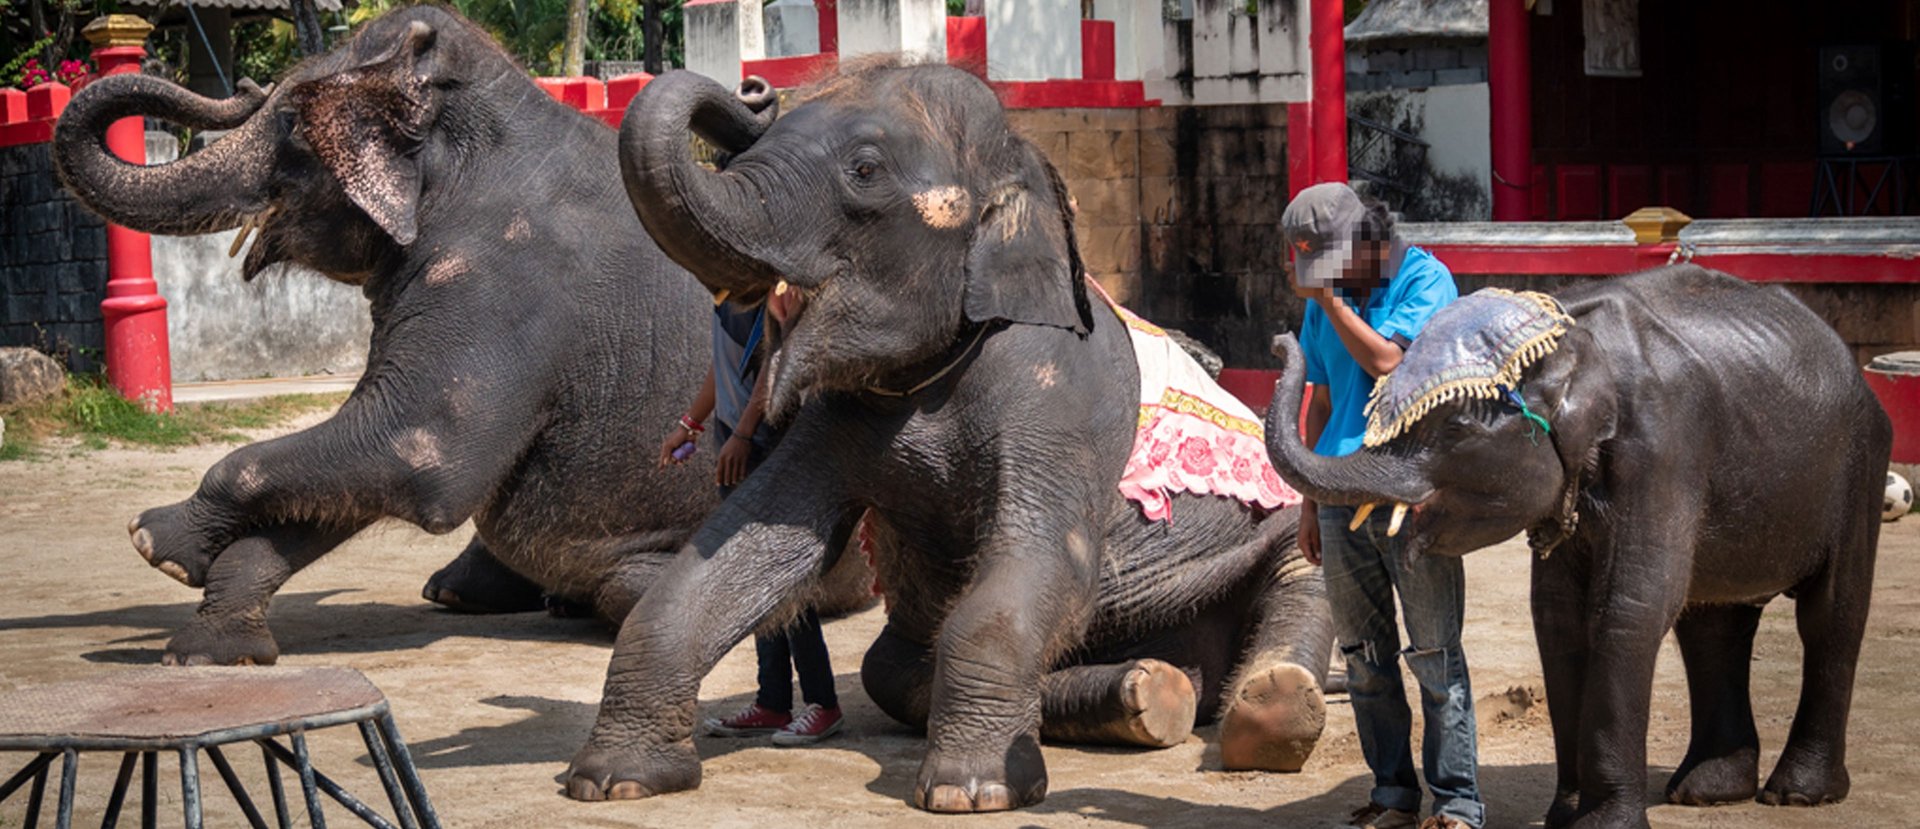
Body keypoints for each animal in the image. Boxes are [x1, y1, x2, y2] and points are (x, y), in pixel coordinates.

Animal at [52, 4, 875, 667]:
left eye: (290, 122)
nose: (245, 87)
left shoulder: (505, 282)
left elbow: (418, 448)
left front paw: (155, 540)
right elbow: (363, 467)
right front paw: (211, 649)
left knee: (628, 587)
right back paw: (474, 592)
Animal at [556, 61, 1336, 813]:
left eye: (864, 169)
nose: (753, 89)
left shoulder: (1058, 395)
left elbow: (1046, 558)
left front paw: (972, 793)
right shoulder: (836, 417)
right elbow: (752, 542)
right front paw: (613, 780)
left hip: (1273, 535)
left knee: (1303, 577)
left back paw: (1269, 711)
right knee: (892, 668)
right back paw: (1145, 692)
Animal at [1267, 266, 1881, 829]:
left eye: (1456, 430)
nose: (1280, 336)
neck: (1572, 347)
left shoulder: (1665, 450)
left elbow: (1628, 610)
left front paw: (1602, 824)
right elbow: (1557, 619)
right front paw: (1564, 818)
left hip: (1860, 466)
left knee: (1831, 616)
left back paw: (1797, 794)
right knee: (1712, 623)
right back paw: (1706, 792)